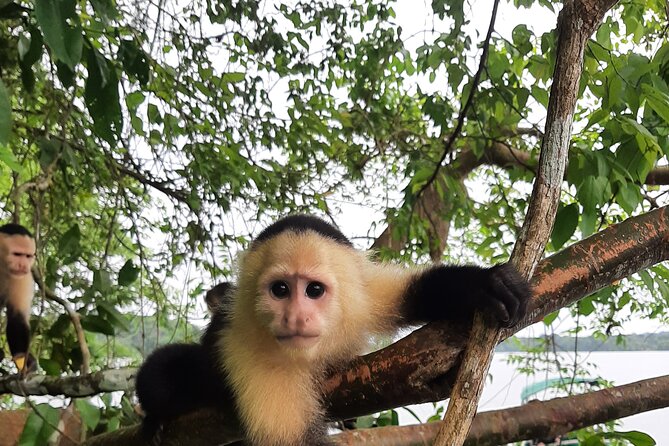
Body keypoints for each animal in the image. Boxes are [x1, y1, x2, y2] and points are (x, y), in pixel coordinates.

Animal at [136, 215, 531, 445]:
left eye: (314, 290)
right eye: (280, 290)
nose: (296, 317)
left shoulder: (361, 296)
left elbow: (413, 292)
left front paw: (481, 286)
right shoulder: (252, 350)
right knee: (162, 376)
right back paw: (155, 419)